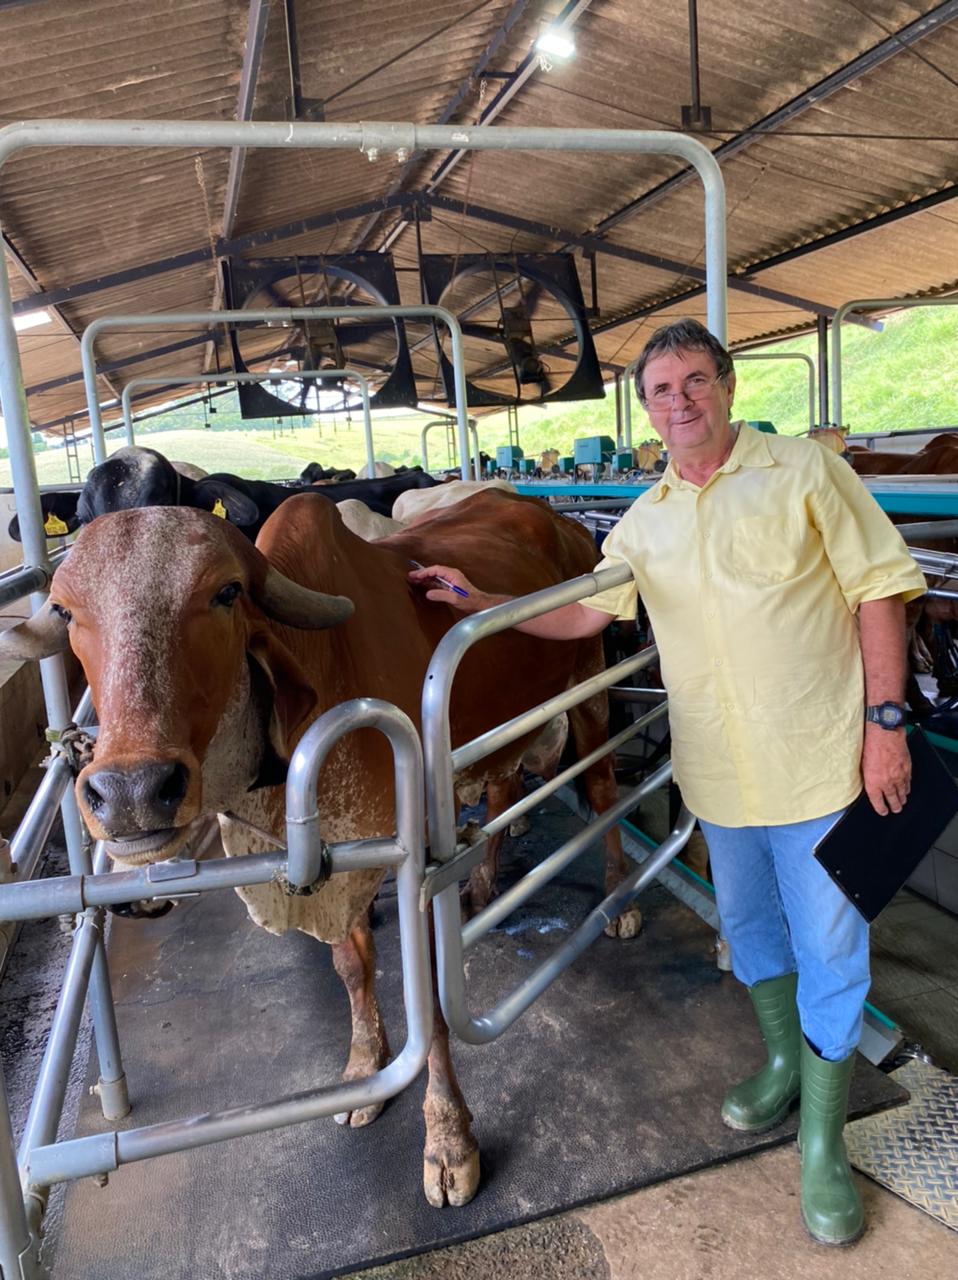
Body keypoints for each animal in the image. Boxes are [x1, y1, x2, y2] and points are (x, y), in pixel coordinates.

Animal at [1, 486, 635, 1208]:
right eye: (66, 611)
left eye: (225, 593)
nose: (132, 791)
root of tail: (555, 518)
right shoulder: (335, 860)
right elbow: (352, 968)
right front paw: (363, 1069)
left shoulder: (412, 850)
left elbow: (433, 1004)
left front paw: (449, 1143)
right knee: (502, 789)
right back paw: (481, 885)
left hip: (589, 679)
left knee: (603, 786)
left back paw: (618, 897)